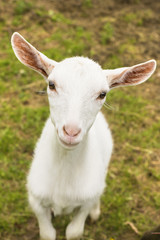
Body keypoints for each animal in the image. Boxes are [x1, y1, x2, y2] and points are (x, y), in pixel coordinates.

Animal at [11, 32, 156, 240]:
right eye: (51, 84)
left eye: (103, 94)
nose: (71, 132)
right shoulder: (35, 199)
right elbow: (47, 233)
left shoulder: (84, 203)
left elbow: (74, 231)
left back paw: (96, 212)